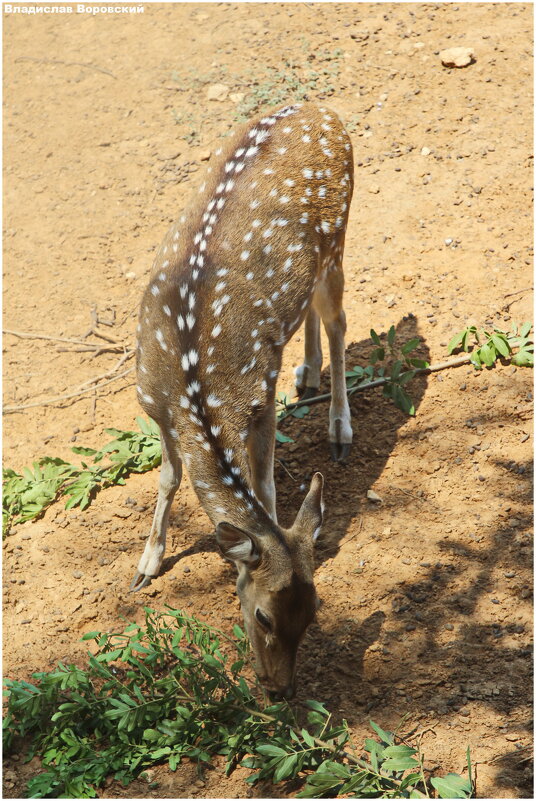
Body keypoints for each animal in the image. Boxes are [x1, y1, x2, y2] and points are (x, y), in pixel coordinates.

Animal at [133, 103, 352, 696]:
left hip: (338, 242)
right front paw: (146, 565)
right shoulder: (150, 401)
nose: (280, 690)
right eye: (264, 617)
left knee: (339, 321)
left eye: (315, 614)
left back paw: (339, 429)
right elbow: (169, 476)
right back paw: (309, 374)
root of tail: (321, 110)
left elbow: (266, 489)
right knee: (316, 319)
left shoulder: (258, 396)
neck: (193, 389)